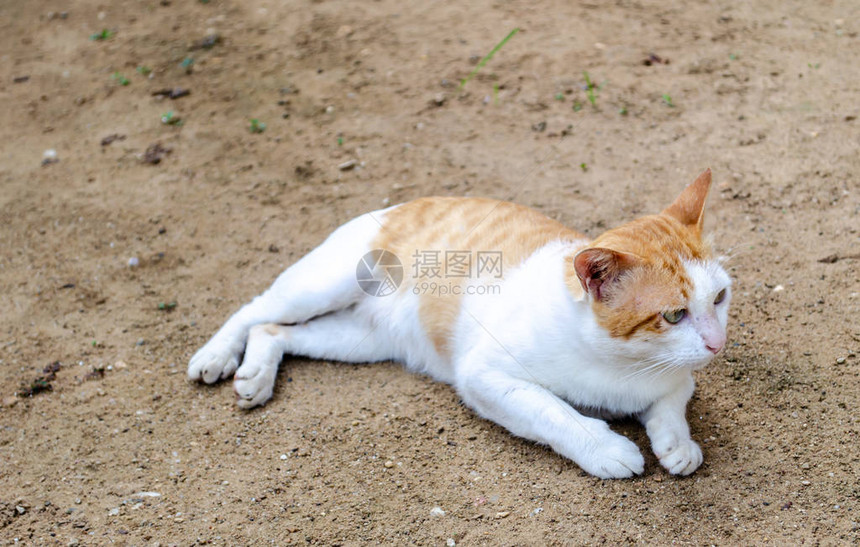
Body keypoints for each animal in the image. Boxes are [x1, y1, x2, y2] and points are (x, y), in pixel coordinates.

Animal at [190, 170, 732, 480]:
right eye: (674, 315)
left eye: (720, 298)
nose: (717, 343)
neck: (625, 365)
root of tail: (398, 204)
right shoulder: (485, 376)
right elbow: (553, 412)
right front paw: (605, 447)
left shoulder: (677, 379)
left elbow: (670, 403)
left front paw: (677, 444)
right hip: (324, 285)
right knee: (256, 310)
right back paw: (216, 355)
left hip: (361, 339)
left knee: (276, 331)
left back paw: (256, 373)